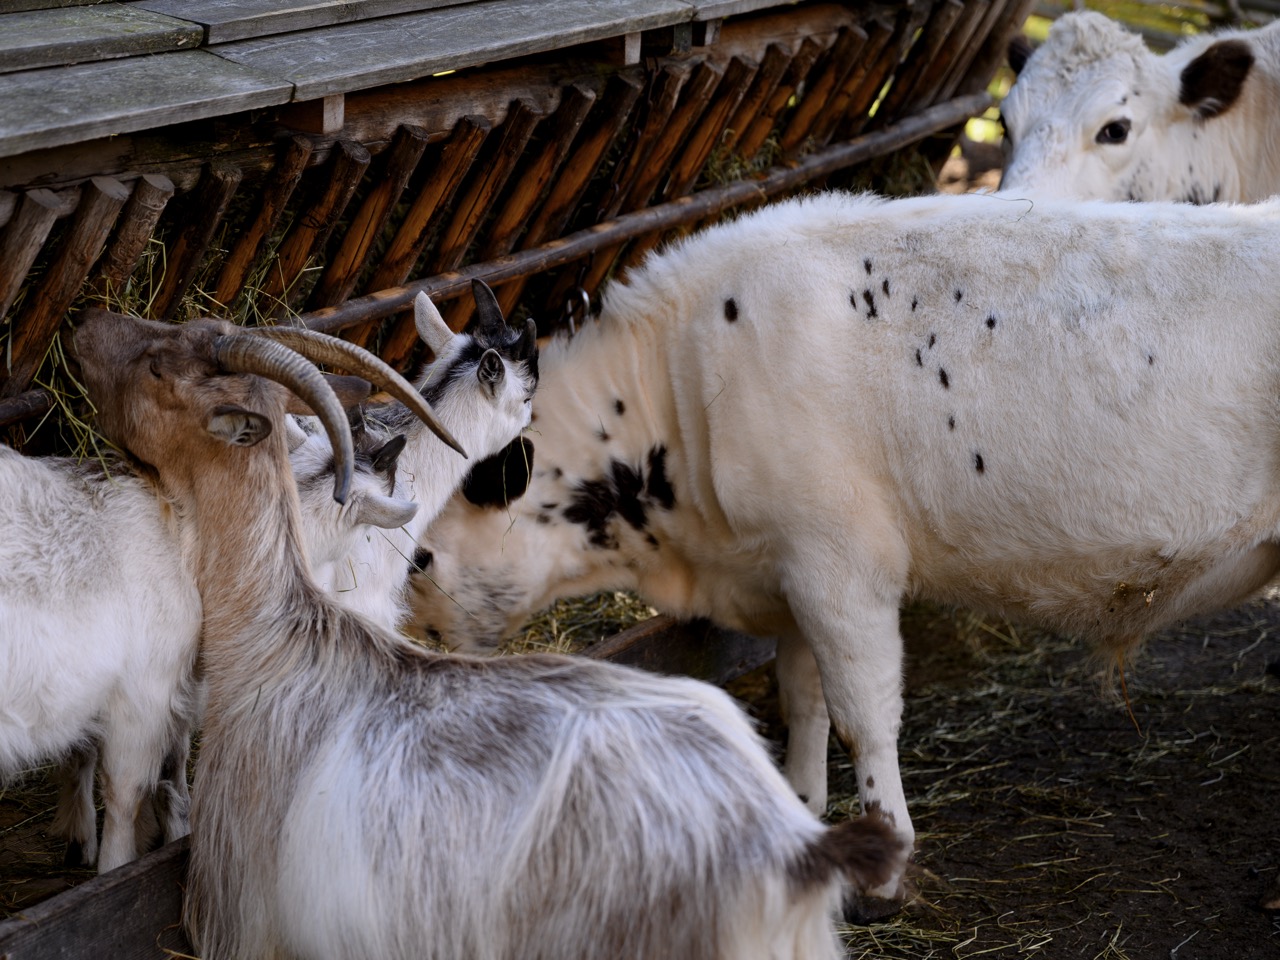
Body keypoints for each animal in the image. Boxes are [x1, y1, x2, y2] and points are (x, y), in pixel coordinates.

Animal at [409, 189, 1280, 917]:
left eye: (425, 550)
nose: (418, 617)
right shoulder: (789, 570)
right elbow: (804, 696)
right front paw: (801, 808)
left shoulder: (841, 564)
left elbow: (864, 712)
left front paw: (884, 871)